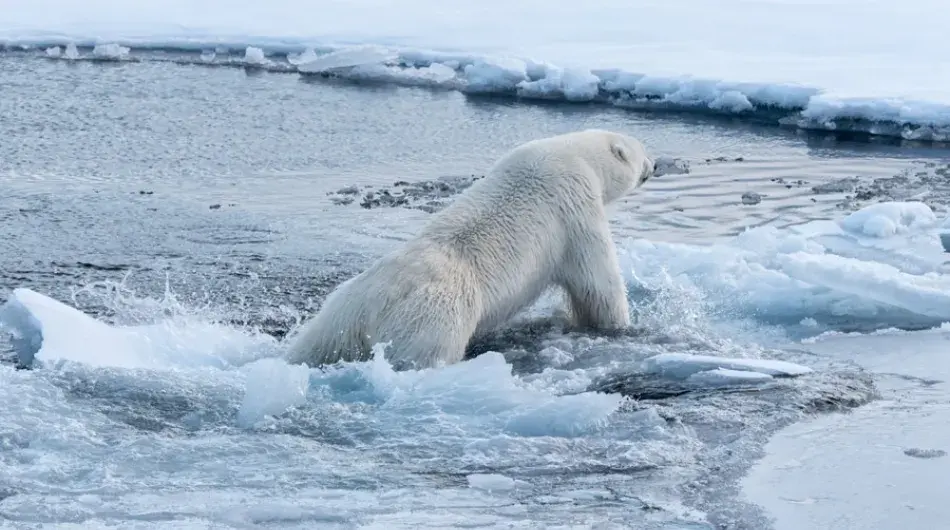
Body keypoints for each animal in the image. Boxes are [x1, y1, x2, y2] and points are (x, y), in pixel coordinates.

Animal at [284, 128, 656, 371]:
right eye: (641, 151)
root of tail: (374, 305)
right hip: (434, 318)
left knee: (317, 346)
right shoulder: (575, 206)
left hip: (338, 316)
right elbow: (596, 280)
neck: (575, 153)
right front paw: (620, 327)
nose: (655, 165)